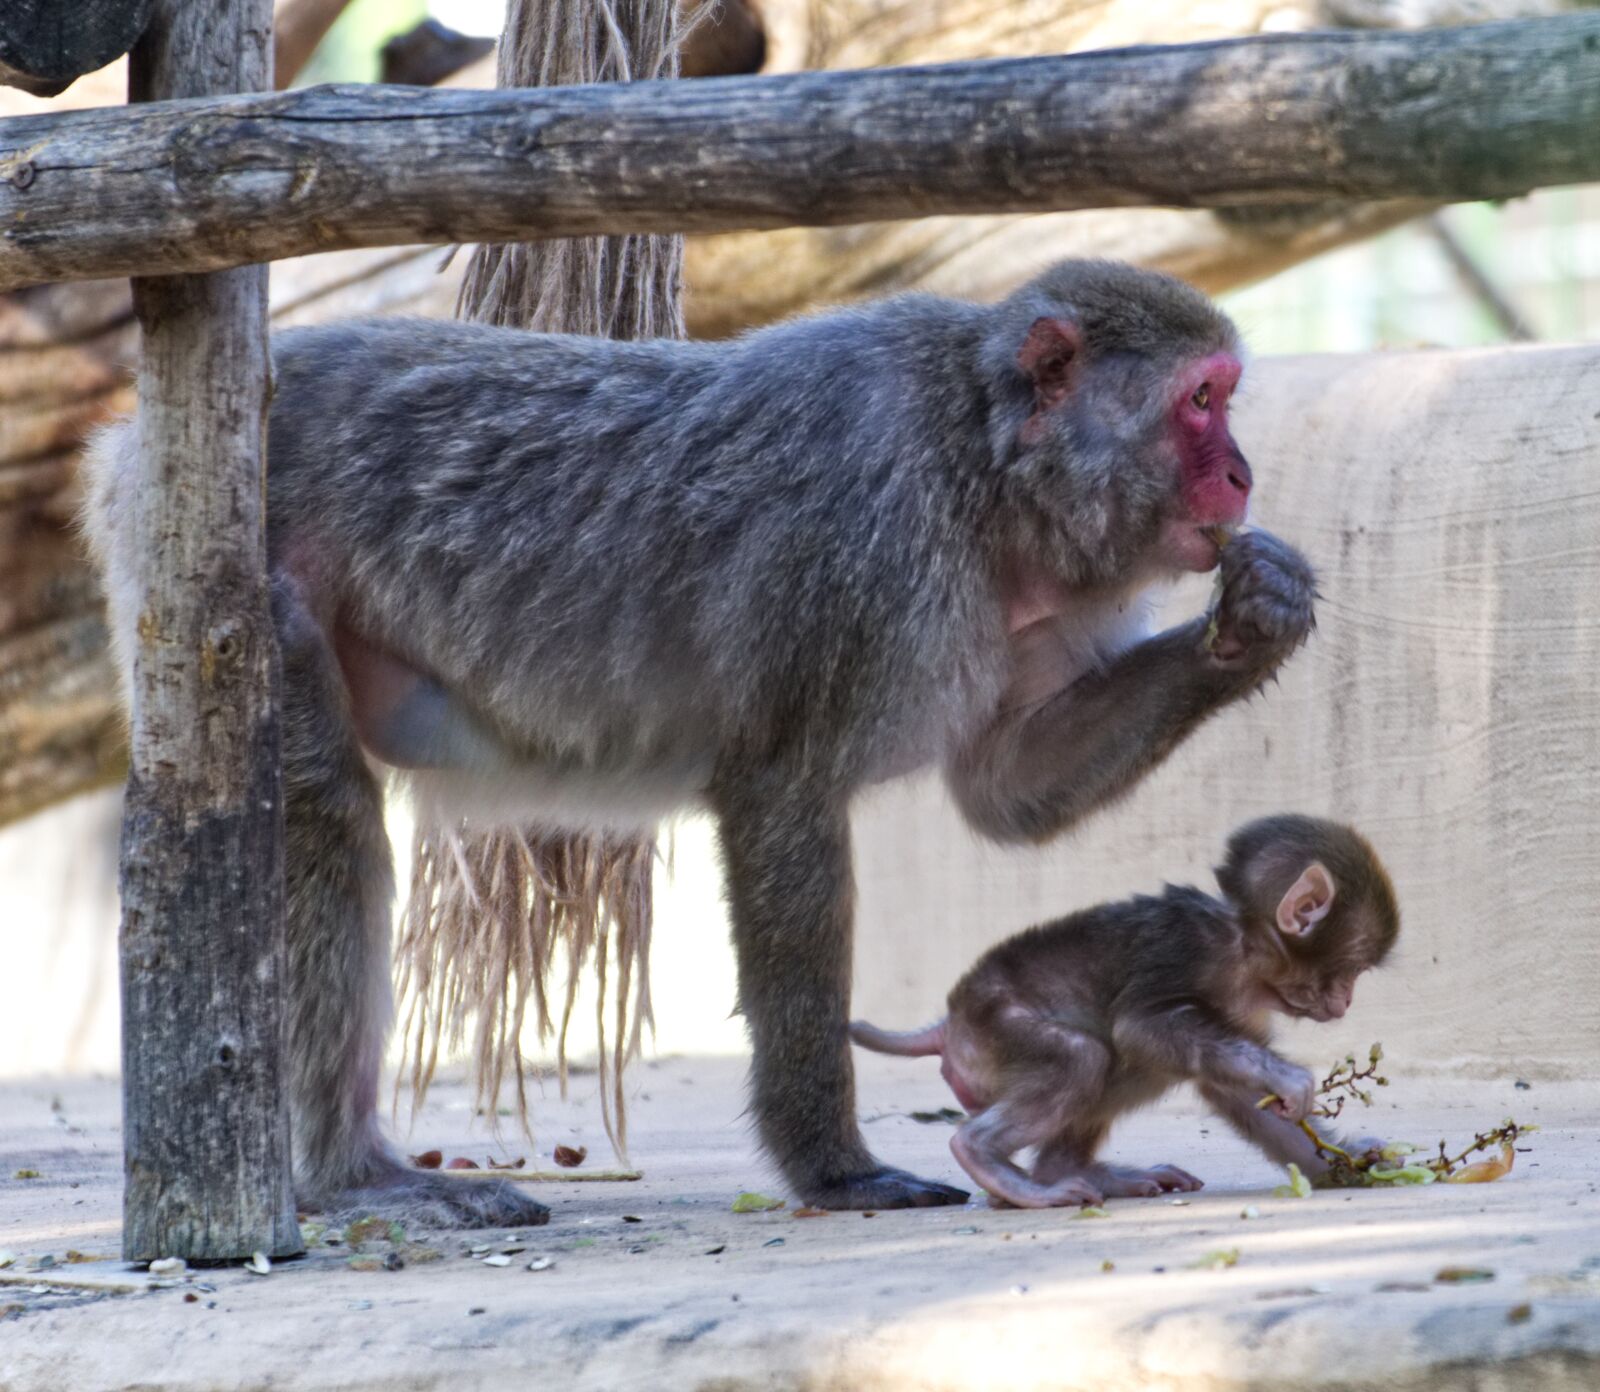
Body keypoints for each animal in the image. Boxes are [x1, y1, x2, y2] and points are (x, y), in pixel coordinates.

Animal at [83, 259, 1317, 1227]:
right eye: (1201, 400)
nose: (1242, 473)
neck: (989, 475)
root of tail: (144, 441)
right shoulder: (866, 539)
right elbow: (785, 791)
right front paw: (836, 1170)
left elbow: (1007, 788)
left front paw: (1253, 619)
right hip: (226, 575)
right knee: (325, 819)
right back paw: (356, 1175)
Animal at [851, 815, 1401, 1208]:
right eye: (1350, 970)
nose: (1346, 1000)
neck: (1244, 948)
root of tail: (950, 1022)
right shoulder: (1187, 946)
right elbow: (1138, 1027)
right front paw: (1286, 1079)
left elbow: (1237, 1092)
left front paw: (1345, 1165)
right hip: (990, 1036)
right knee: (1088, 1055)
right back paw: (993, 1163)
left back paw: (1068, 1172)